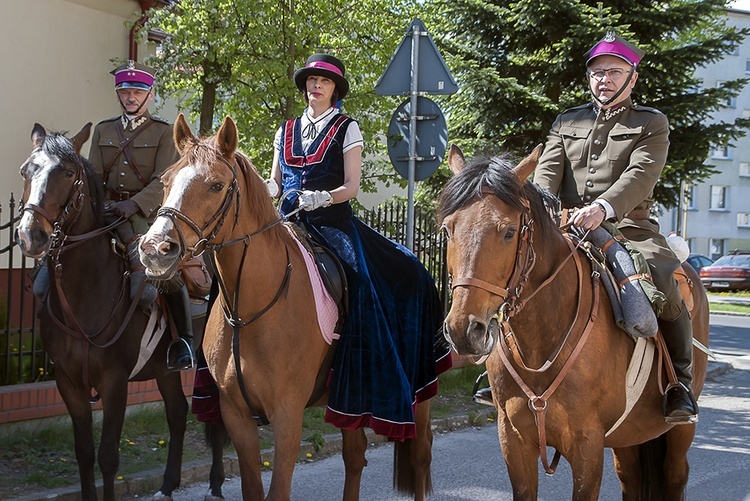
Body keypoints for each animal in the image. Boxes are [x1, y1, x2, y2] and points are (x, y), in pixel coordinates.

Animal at [13, 122, 226, 500]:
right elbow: (84, 453)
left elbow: (108, 457)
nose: (30, 235)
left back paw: (215, 484)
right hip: (166, 369)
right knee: (177, 413)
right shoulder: (68, 381)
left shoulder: (115, 383)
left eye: (68, 172)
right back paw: (167, 485)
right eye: (27, 170)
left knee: (215, 417)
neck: (85, 294)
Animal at [139, 113, 438, 500]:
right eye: (166, 181)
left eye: (216, 185)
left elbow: (277, 491)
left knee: (420, 456)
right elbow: (253, 489)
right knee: (355, 456)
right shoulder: (235, 415)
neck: (249, 312)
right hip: (349, 403)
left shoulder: (288, 415)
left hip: (420, 394)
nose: (155, 248)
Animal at [440, 143, 712, 498]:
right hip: (630, 435)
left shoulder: (587, 446)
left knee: (675, 476)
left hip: (678, 433)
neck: (540, 340)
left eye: (509, 232)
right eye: (448, 229)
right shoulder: (513, 441)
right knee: (631, 477)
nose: (464, 330)